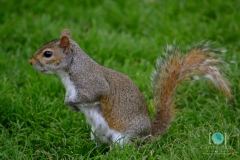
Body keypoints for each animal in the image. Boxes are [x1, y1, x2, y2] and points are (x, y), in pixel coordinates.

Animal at [28, 28, 232, 146]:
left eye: (47, 54)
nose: (30, 62)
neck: (69, 71)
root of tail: (149, 135)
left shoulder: (92, 82)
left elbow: (93, 94)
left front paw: (71, 103)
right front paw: (70, 105)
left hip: (124, 137)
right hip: (97, 133)